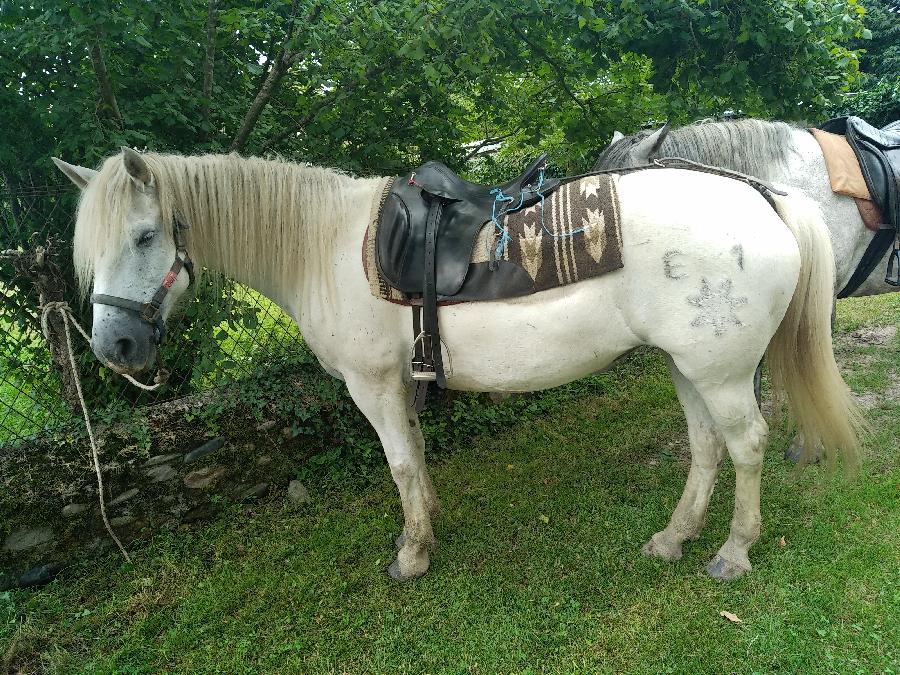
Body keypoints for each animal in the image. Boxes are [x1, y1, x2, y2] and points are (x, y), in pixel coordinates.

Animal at [51, 149, 864, 580]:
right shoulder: (398, 382)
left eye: (147, 236)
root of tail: (762, 197)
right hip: (687, 365)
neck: (325, 245)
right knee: (705, 448)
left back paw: (732, 551)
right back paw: (674, 537)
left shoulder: (373, 386)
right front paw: (428, 523)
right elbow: (415, 456)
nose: (116, 348)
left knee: (747, 445)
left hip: (719, 371)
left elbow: (399, 463)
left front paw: (412, 553)